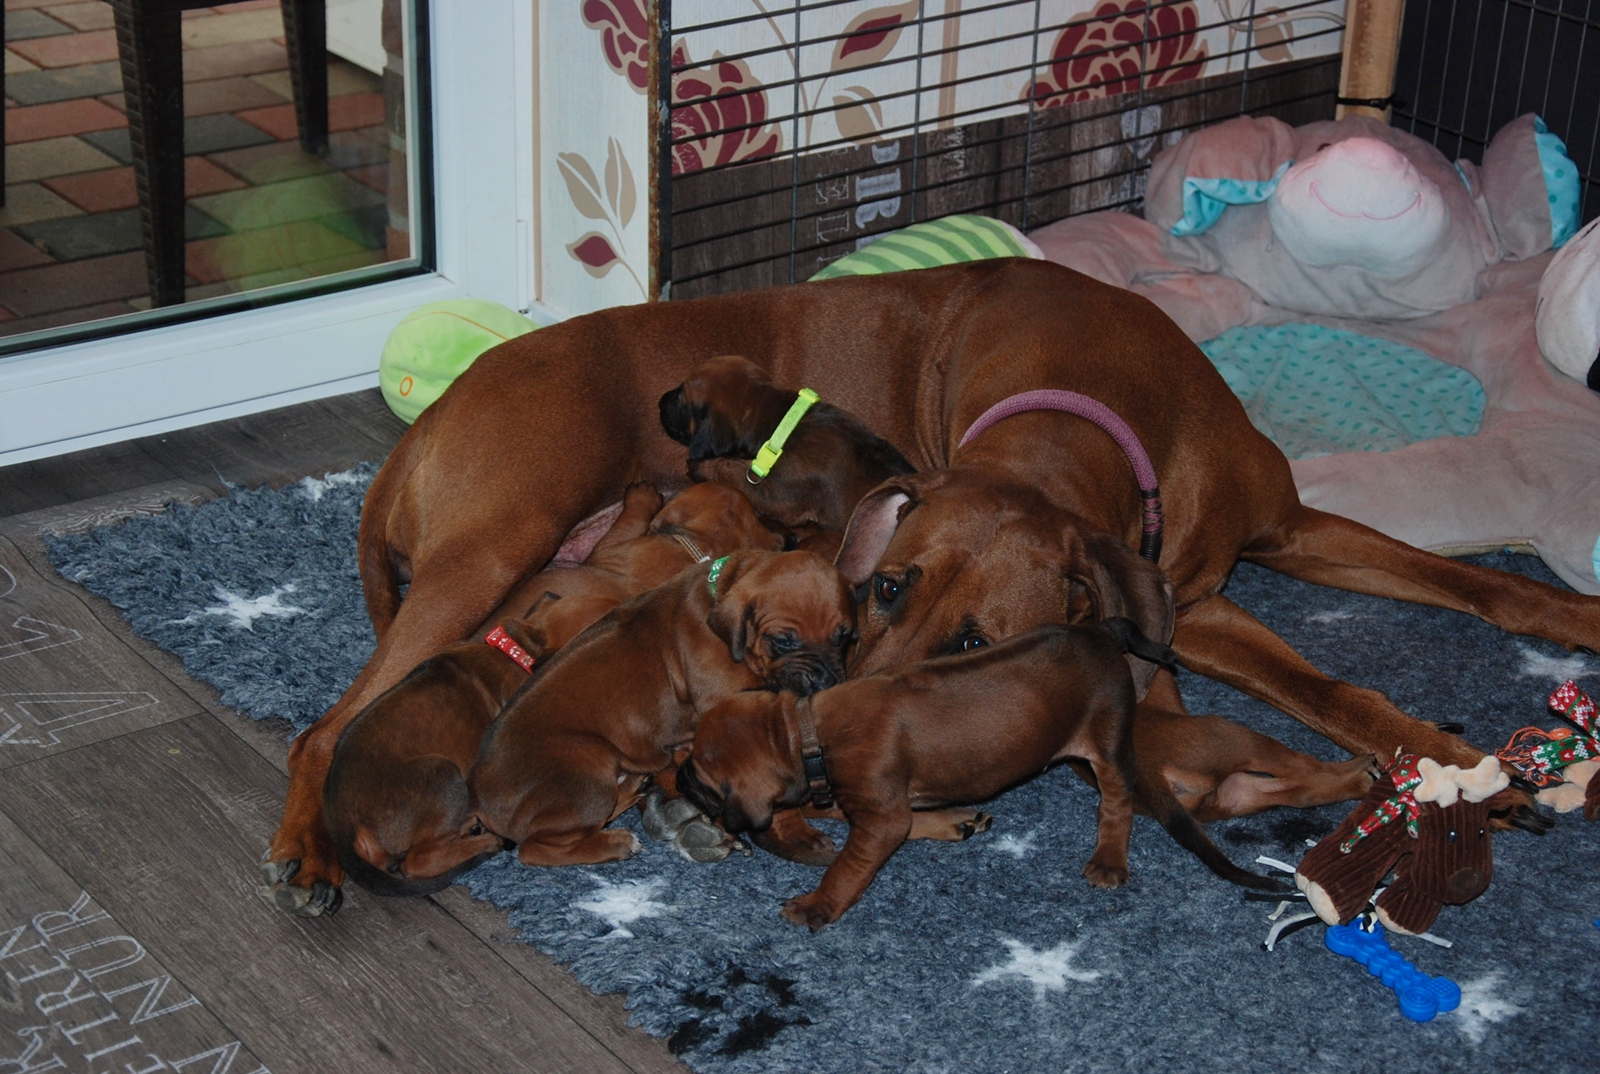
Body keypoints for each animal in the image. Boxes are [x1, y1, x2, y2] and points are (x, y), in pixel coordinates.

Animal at [468, 549, 855, 867]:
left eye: (844, 636)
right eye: (783, 641)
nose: (826, 682)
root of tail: (480, 802)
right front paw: (795, 827)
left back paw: (634, 787)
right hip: (589, 772)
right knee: (536, 850)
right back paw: (615, 842)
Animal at [659, 354, 915, 535]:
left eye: (680, 397)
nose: (660, 400)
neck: (780, 421)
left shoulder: (774, 494)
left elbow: (729, 469)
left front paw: (702, 466)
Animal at [679, 619, 1283, 928]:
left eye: (704, 780)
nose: (680, 778)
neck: (803, 729)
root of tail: (1101, 631)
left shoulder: (878, 813)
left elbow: (848, 864)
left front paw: (817, 905)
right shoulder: (883, 805)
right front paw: (955, 822)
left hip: (1109, 744)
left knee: (1116, 805)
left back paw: (1110, 859)